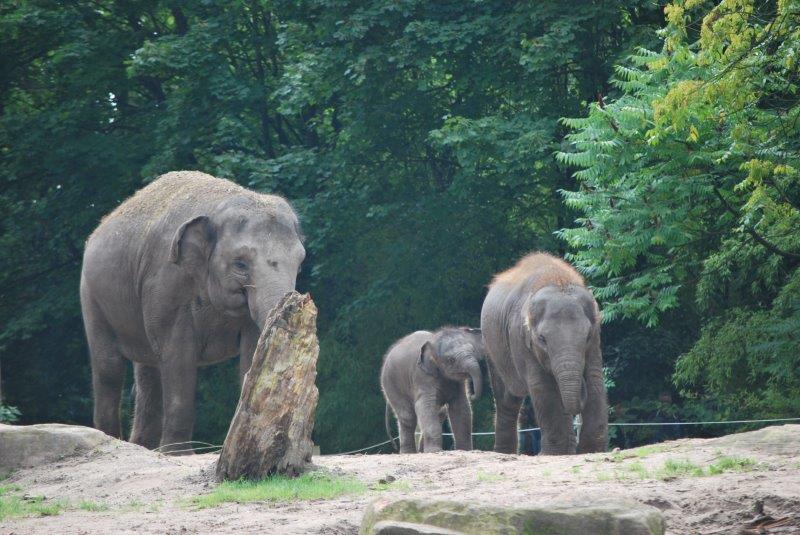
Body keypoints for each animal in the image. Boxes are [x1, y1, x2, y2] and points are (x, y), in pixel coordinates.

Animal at [79, 171, 304, 452]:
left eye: (300, 263)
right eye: (240, 264)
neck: (218, 206)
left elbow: (252, 349)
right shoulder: (166, 282)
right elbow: (178, 354)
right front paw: (178, 454)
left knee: (147, 371)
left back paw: (144, 446)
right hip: (92, 295)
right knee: (109, 367)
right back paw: (114, 439)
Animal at [482, 253, 608, 454]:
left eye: (588, 336)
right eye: (542, 339)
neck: (557, 279)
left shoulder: (596, 339)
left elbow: (595, 379)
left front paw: (590, 451)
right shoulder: (520, 338)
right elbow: (542, 386)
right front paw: (552, 453)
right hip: (492, 349)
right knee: (506, 399)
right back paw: (503, 452)